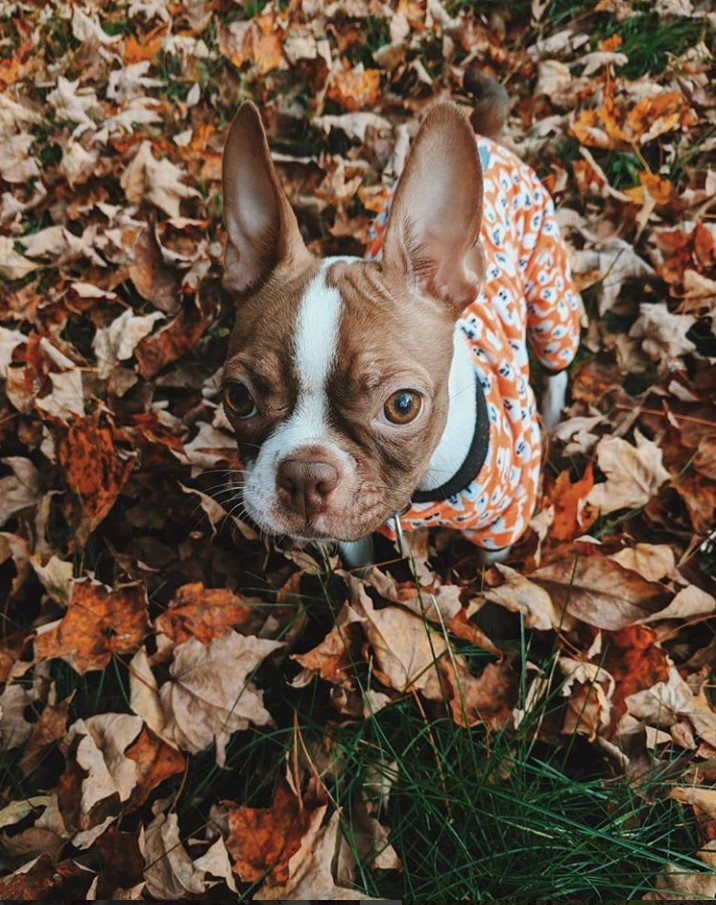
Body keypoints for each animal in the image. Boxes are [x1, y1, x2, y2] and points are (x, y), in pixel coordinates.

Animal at [220, 86, 580, 564]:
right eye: (238, 398)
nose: (305, 474)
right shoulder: (353, 532)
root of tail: (486, 134)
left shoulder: (504, 521)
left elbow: (490, 568)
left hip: (549, 292)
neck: (420, 493)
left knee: (558, 360)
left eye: (403, 406)